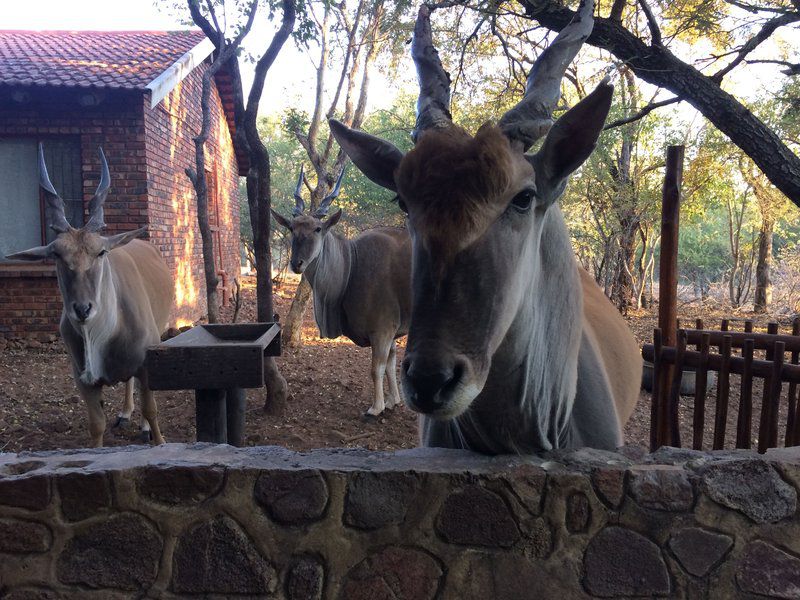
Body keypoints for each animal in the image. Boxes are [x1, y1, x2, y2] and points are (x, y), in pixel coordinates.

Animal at [7, 144, 173, 446]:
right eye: (56, 254)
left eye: (101, 252)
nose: (83, 309)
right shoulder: (82, 379)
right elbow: (97, 424)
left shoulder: (147, 362)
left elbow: (152, 409)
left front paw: (155, 437)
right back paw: (125, 414)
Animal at [274, 165, 412, 418]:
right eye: (291, 228)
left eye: (318, 228)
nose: (297, 263)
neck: (352, 264)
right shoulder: (391, 333)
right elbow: (390, 363)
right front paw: (393, 401)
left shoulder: (383, 330)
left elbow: (376, 368)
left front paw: (376, 408)